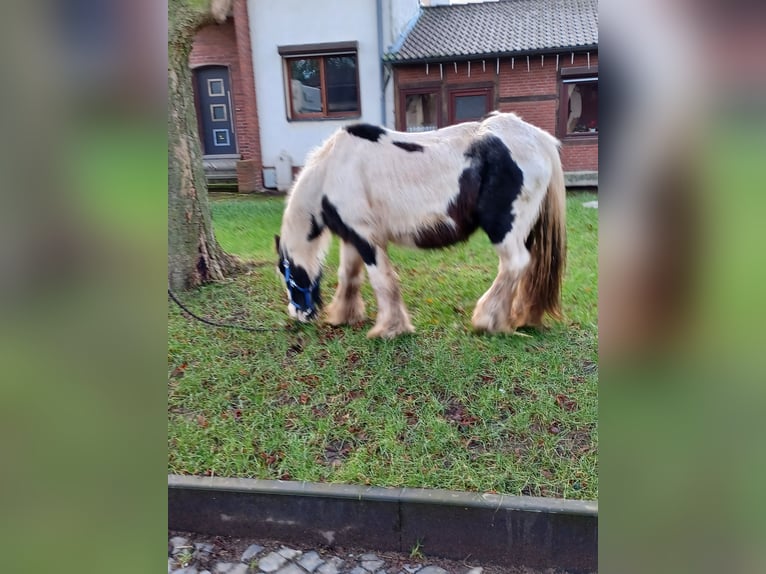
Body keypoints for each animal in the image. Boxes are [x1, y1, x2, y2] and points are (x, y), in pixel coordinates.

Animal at [280, 110, 568, 340]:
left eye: (285, 272)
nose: (298, 315)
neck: (332, 171)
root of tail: (540, 140)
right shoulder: (352, 237)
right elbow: (348, 275)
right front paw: (344, 315)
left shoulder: (366, 237)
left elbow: (381, 280)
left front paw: (389, 329)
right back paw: (514, 318)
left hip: (503, 229)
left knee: (514, 264)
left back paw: (487, 321)